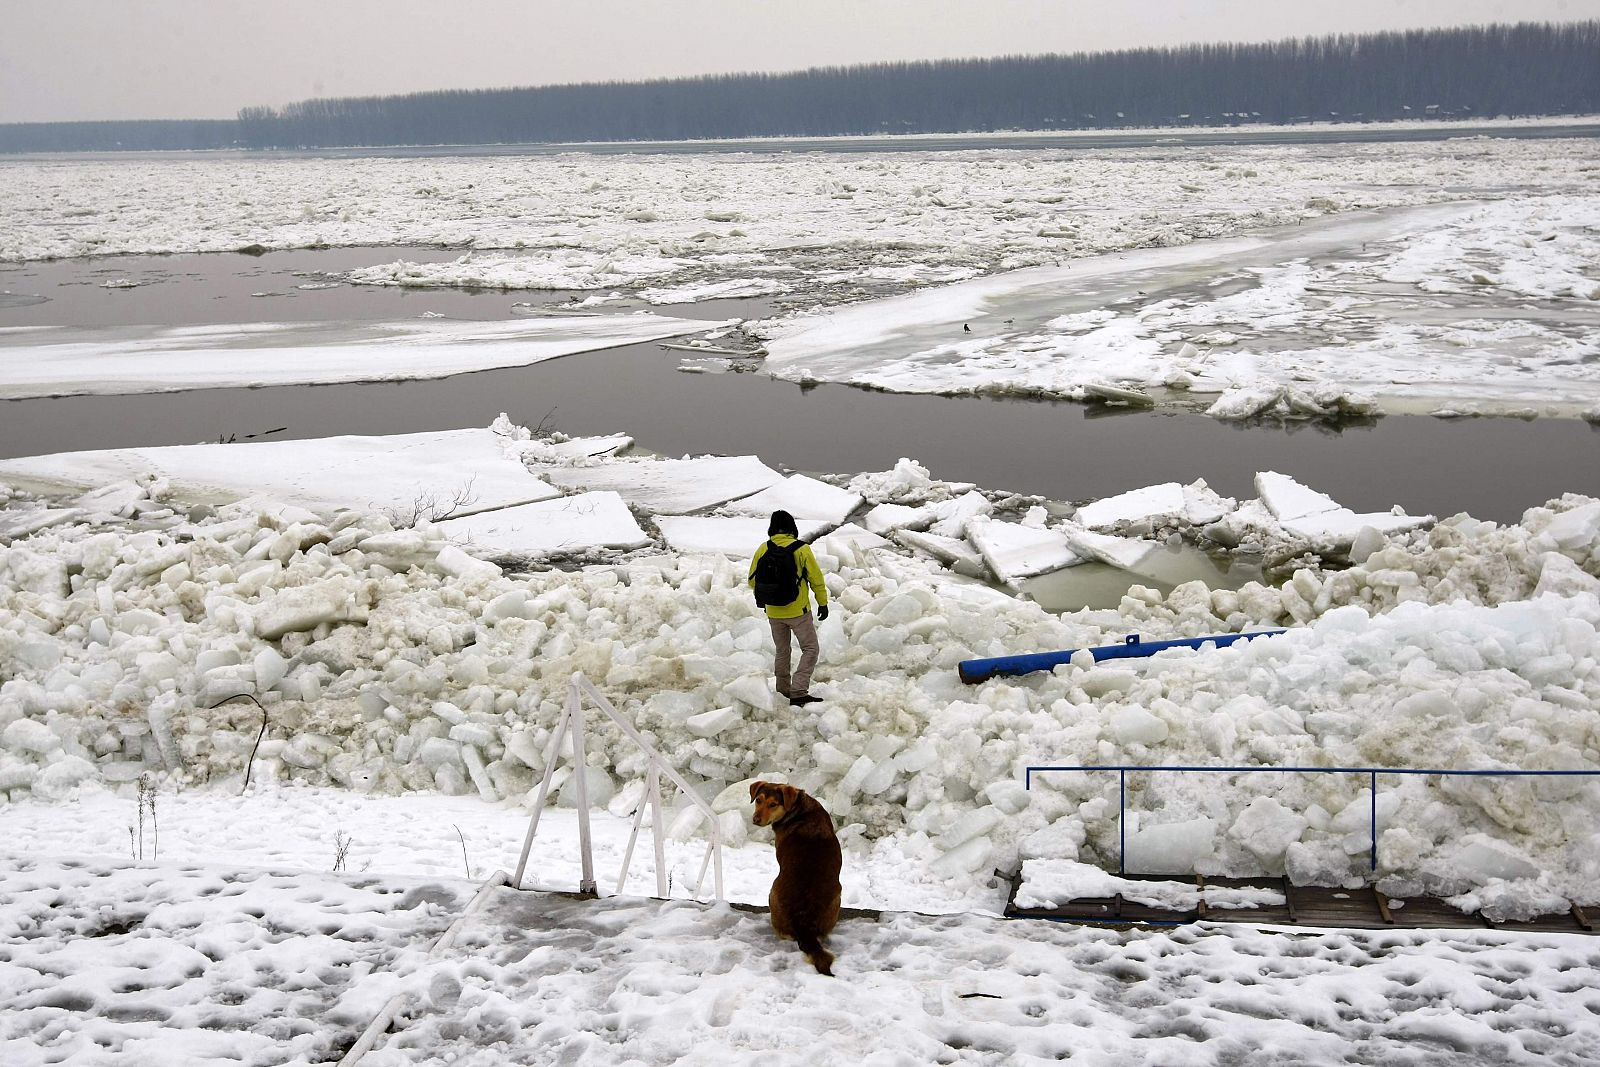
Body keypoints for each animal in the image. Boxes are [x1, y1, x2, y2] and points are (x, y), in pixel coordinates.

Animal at [752, 777, 851, 979]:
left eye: (773, 804)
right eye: (758, 800)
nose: (755, 820)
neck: (798, 808)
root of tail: (804, 924)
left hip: (772, 893)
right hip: (837, 897)